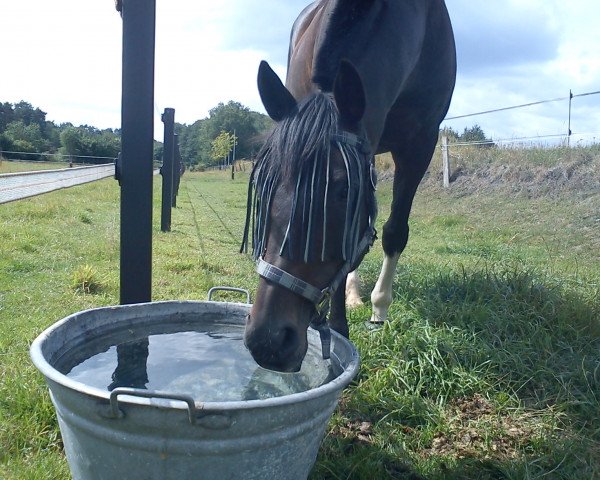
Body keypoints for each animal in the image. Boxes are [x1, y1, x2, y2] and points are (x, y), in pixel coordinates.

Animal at [239, 0, 454, 374]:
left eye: (342, 192)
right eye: (264, 187)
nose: (267, 341)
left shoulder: (420, 143)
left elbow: (393, 232)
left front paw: (378, 309)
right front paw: (340, 327)